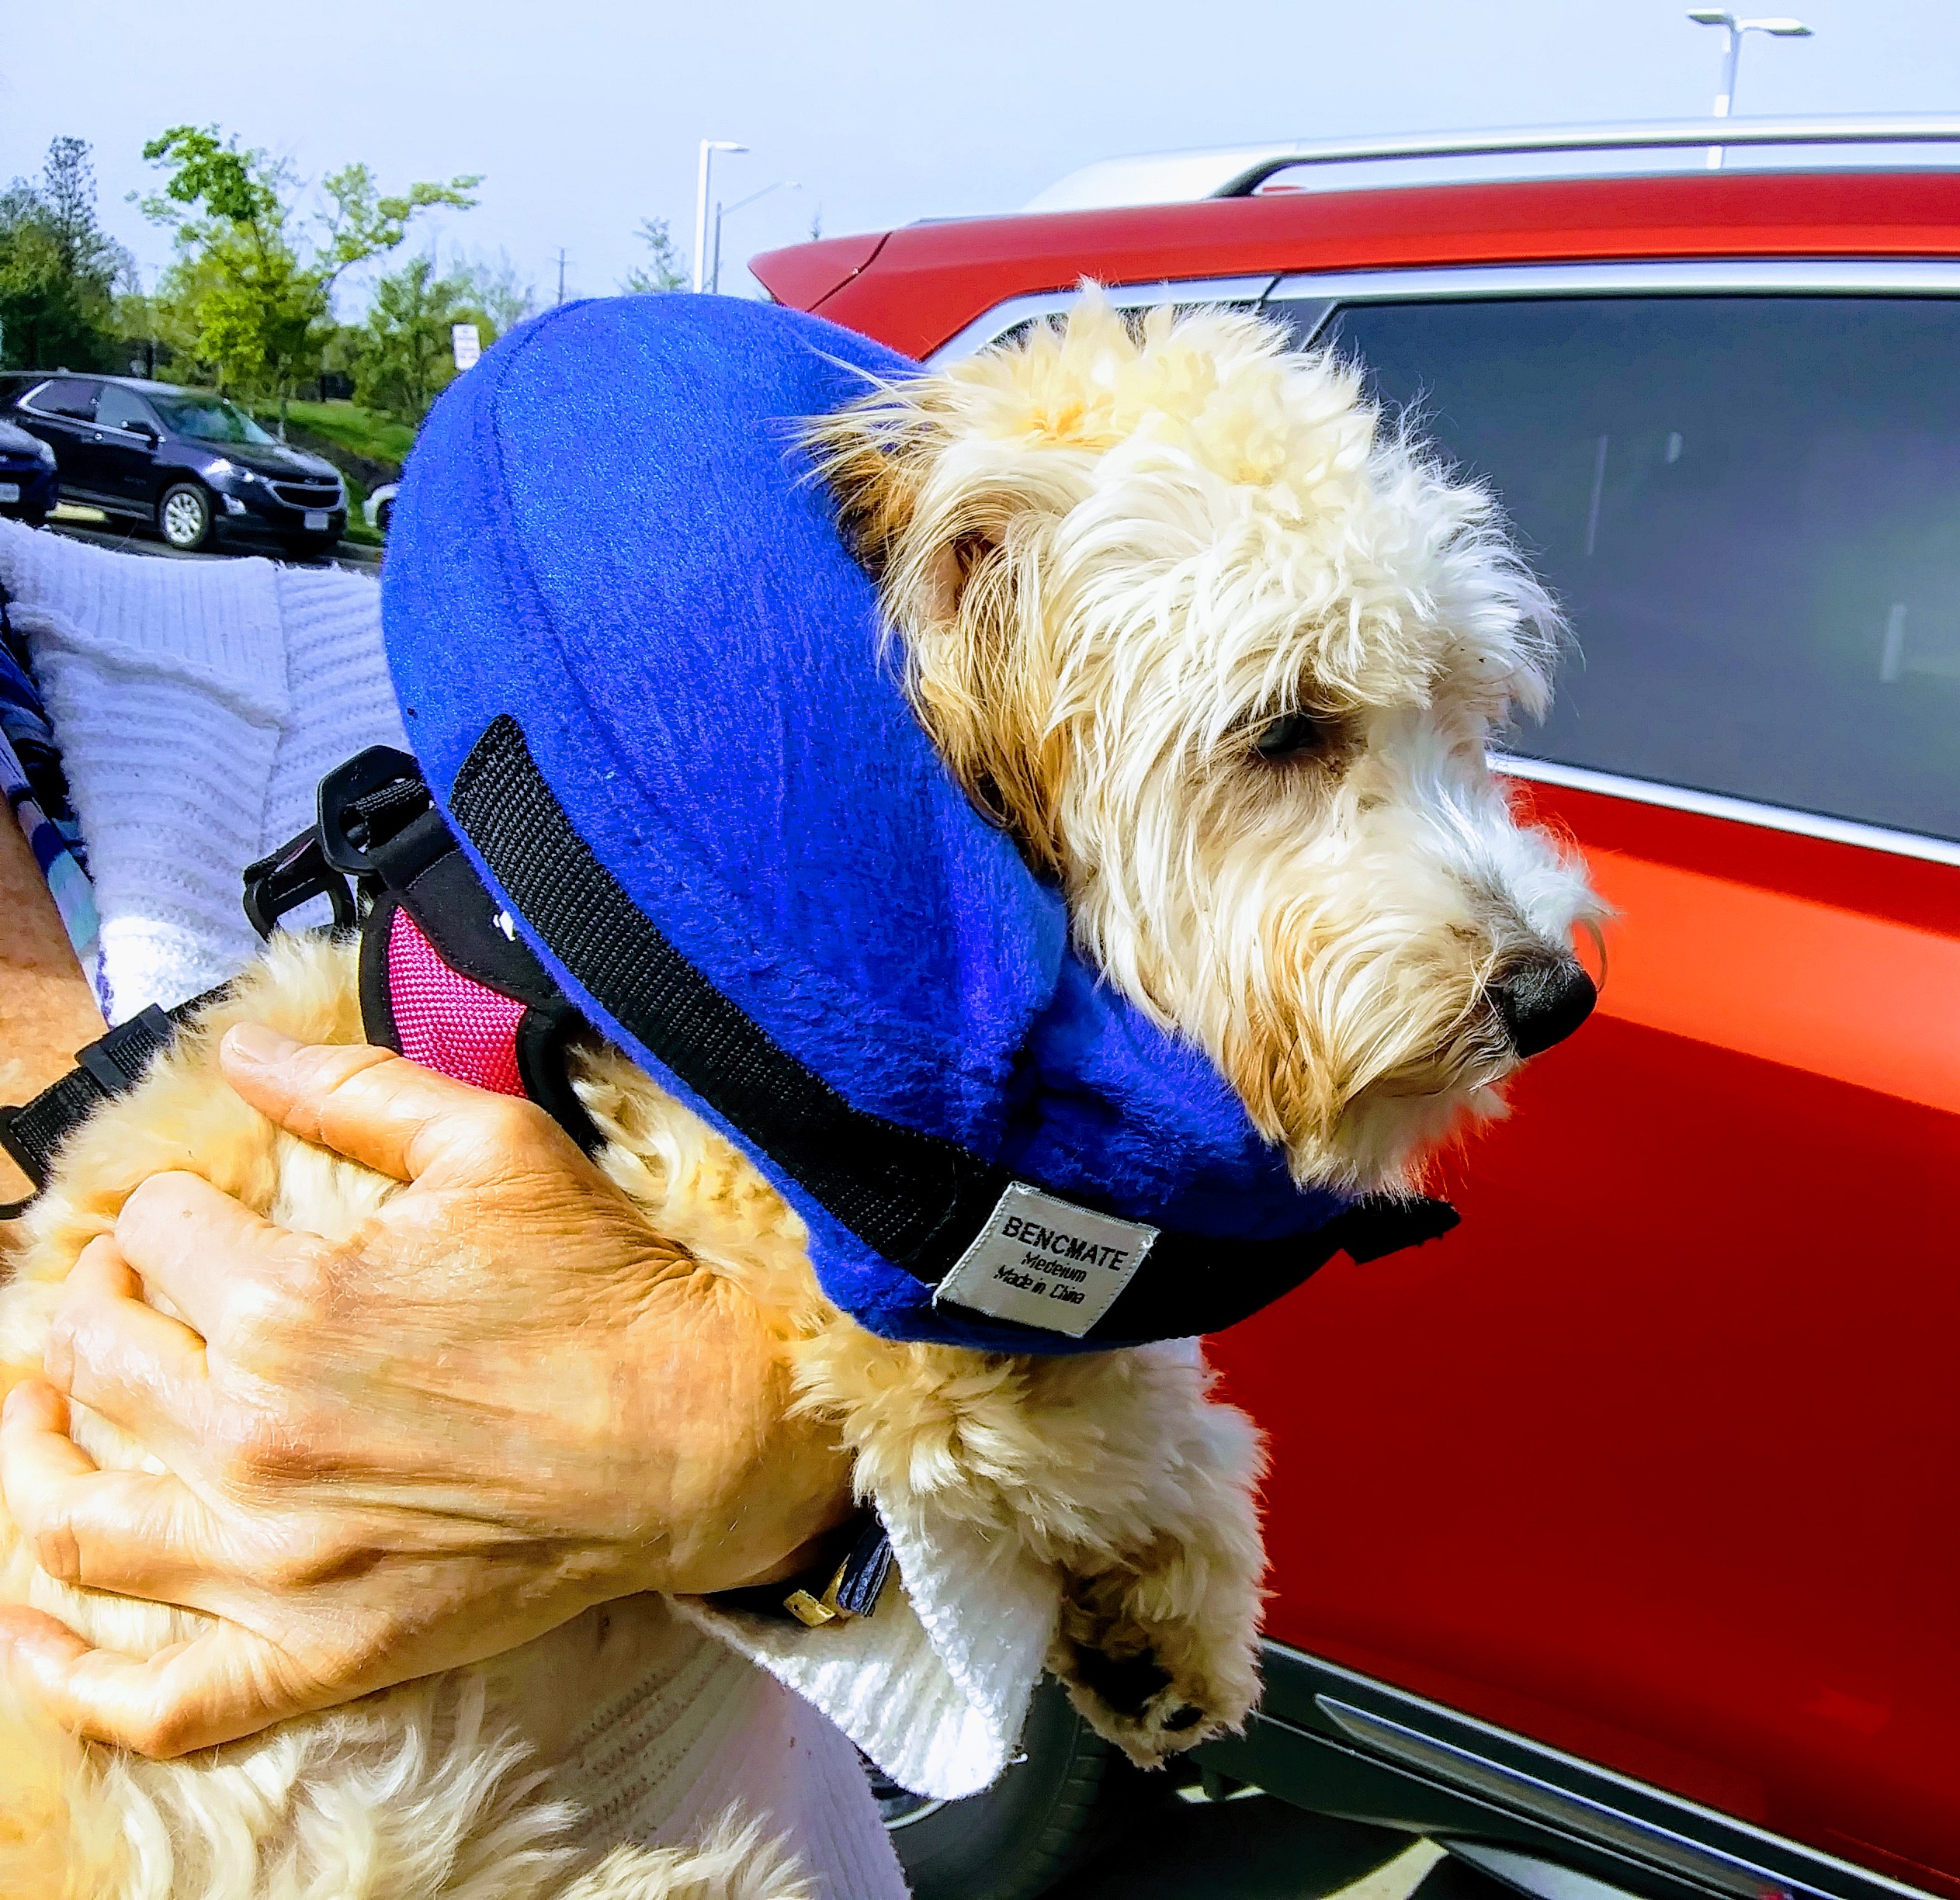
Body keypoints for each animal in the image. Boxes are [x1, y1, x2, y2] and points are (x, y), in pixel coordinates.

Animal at [0, 300, 1591, 1895]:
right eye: (1283, 729)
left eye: (1464, 717)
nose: (1552, 995)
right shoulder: (784, 1231)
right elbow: (1114, 1399)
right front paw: (1168, 1572)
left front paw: (1166, 1626)